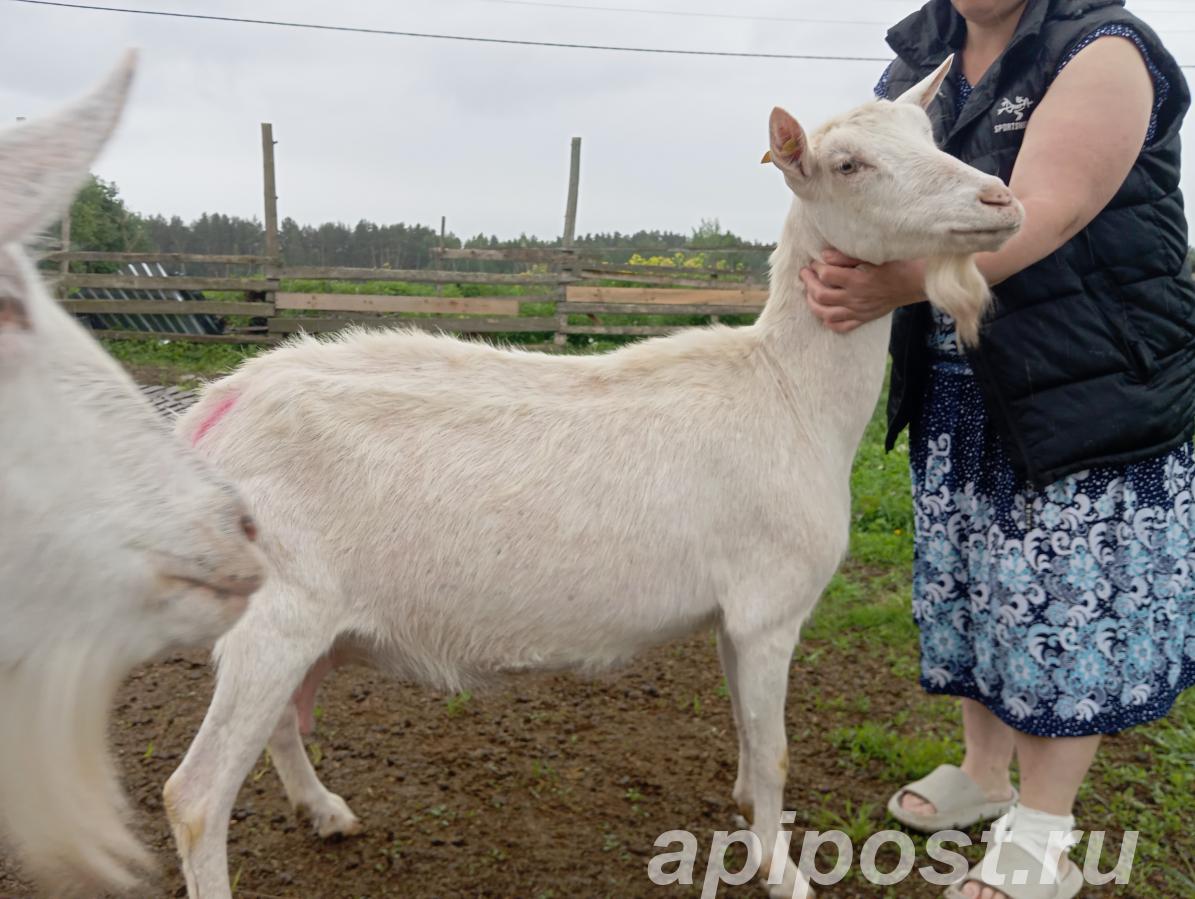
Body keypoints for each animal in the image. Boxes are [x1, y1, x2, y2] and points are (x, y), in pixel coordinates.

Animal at [165, 56, 1021, 899]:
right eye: (847, 164)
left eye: (928, 135)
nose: (1000, 199)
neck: (786, 392)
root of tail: (215, 408)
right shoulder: (769, 605)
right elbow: (776, 750)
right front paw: (781, 872)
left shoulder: (732, 616)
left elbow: (750, 739)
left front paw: (749, 815)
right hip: (278, 613)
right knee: (196, 796)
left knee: (278, 723)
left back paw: (324, 809)